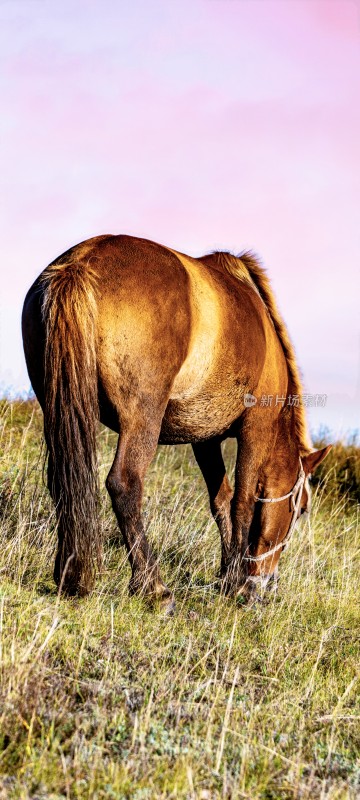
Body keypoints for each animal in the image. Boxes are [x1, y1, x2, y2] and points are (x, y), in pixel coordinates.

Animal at [21, 234, 332, 608]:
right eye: (300, 510)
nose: (266, 581)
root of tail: (80, 262)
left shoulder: (205, 439)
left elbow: (221, 502)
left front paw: (227, 576)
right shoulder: (255, 428)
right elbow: (242, 502)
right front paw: (238, 585)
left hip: (59, 408)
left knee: (61, 481)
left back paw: (70, 575)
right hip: (143, 418)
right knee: (124, 484)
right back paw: (153, 588)